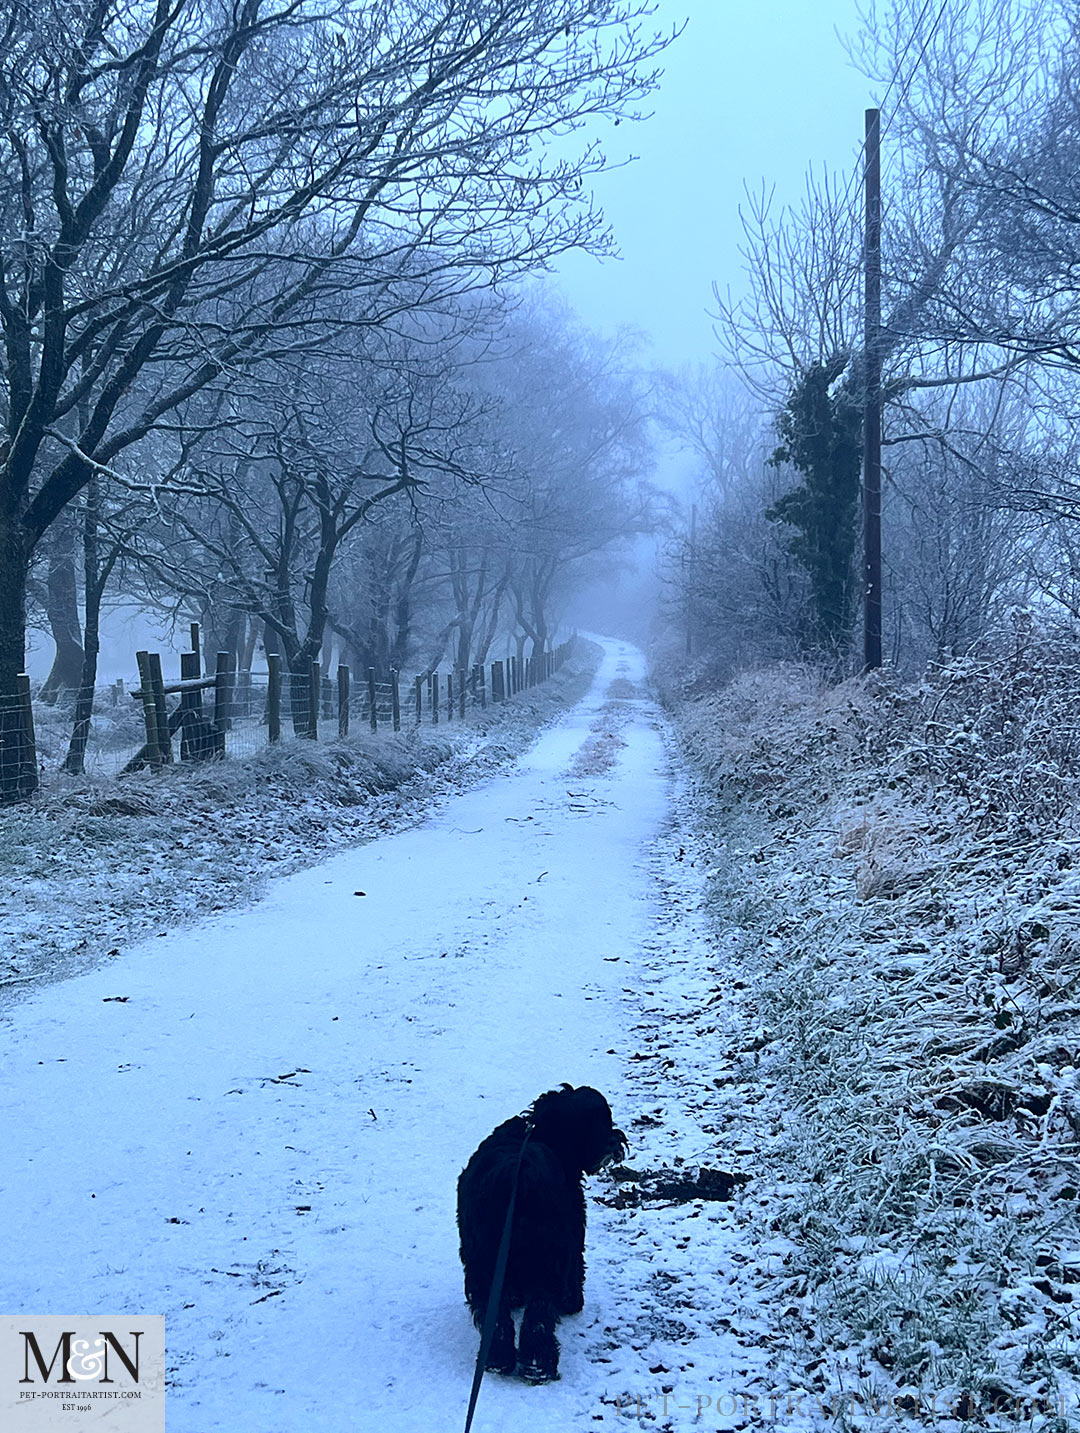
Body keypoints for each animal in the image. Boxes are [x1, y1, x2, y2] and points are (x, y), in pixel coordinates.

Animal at [452, 1089, 621, 1381]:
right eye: (599, 1120)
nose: (616, 1141)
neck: (543, 1132)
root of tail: (517, 1178)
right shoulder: (575, 1228)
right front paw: (573, 1303)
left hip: (483, 1259)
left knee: (495, 1314)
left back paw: (498, 1360)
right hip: (548, 1257)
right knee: (539, 1315)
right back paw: (538, 1364)